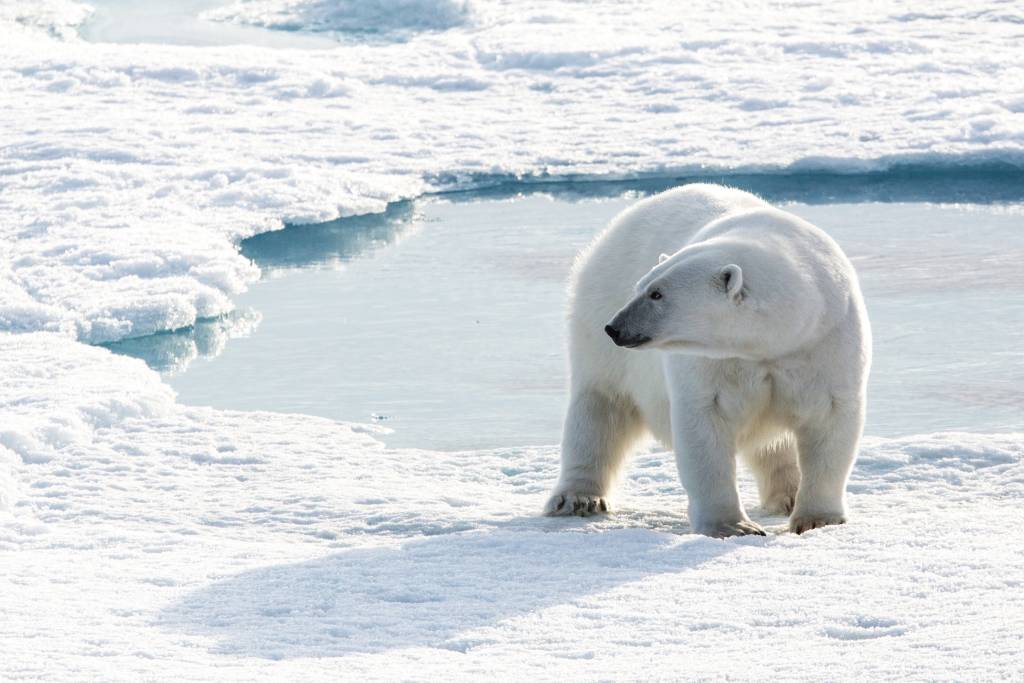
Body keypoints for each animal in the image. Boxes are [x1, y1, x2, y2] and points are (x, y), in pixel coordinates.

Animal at [544, 183, 871, 537]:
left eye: (657, 294)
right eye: (641, 287)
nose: (615, 327)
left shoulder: (824, 343)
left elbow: (829, 419)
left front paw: (817, 519)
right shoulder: (710, 364)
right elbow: (704, 424)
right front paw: (734, 525)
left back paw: (787, 494)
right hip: (599, 319)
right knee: (600, 408)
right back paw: (578, 498)